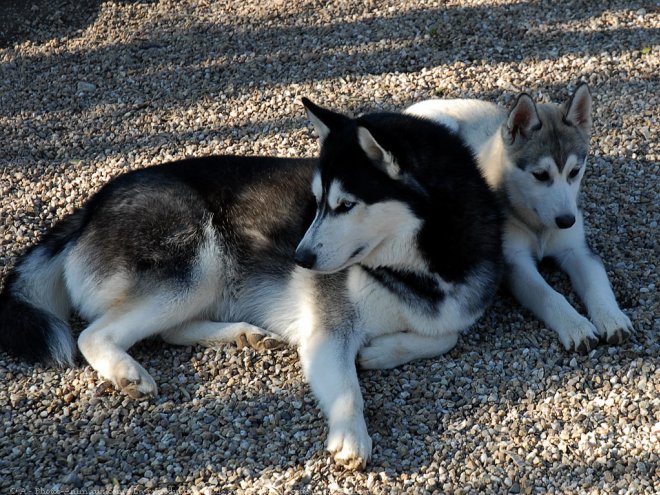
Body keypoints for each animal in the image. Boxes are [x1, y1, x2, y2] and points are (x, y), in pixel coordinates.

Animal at [2, 100, 502, 468]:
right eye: (317, 203)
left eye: (346, 205)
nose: (299, 259)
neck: (417, 268)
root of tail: (89, 207)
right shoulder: (328, 329)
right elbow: (347, 389)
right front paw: (351, 433)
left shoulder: (458, 306)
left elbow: (447, 335)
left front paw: (381, 352)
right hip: (198, 262)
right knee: (94, 333)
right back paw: (127, 371)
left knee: (168, 331)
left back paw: (243, 335)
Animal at [408, 82, 636, 352]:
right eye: (540, 175)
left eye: (574, 172)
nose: (567, 221)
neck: (538, 226)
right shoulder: (515, 261)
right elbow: (549, 295)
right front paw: (576, 326)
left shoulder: (577, 249)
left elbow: (597, 284)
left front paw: (612, 317)